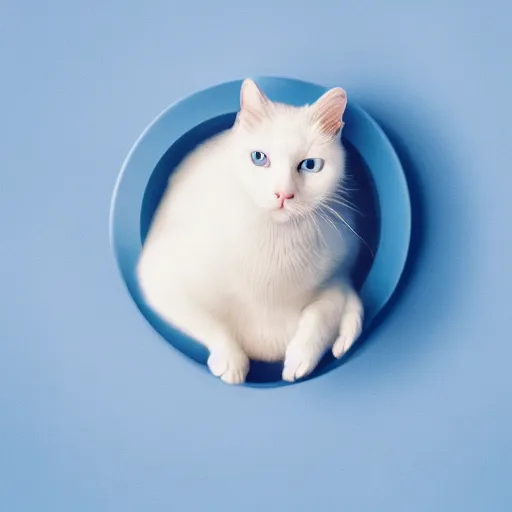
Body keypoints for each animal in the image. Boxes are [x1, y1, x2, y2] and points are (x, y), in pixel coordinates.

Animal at [137, 80, 364, 384]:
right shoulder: (157, 277)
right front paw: (232, 364)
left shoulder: (338, 274)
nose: (283, 194)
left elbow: (323, 312)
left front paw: (301, 359)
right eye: (259, 158)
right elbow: (207, 322)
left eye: (310, 165)